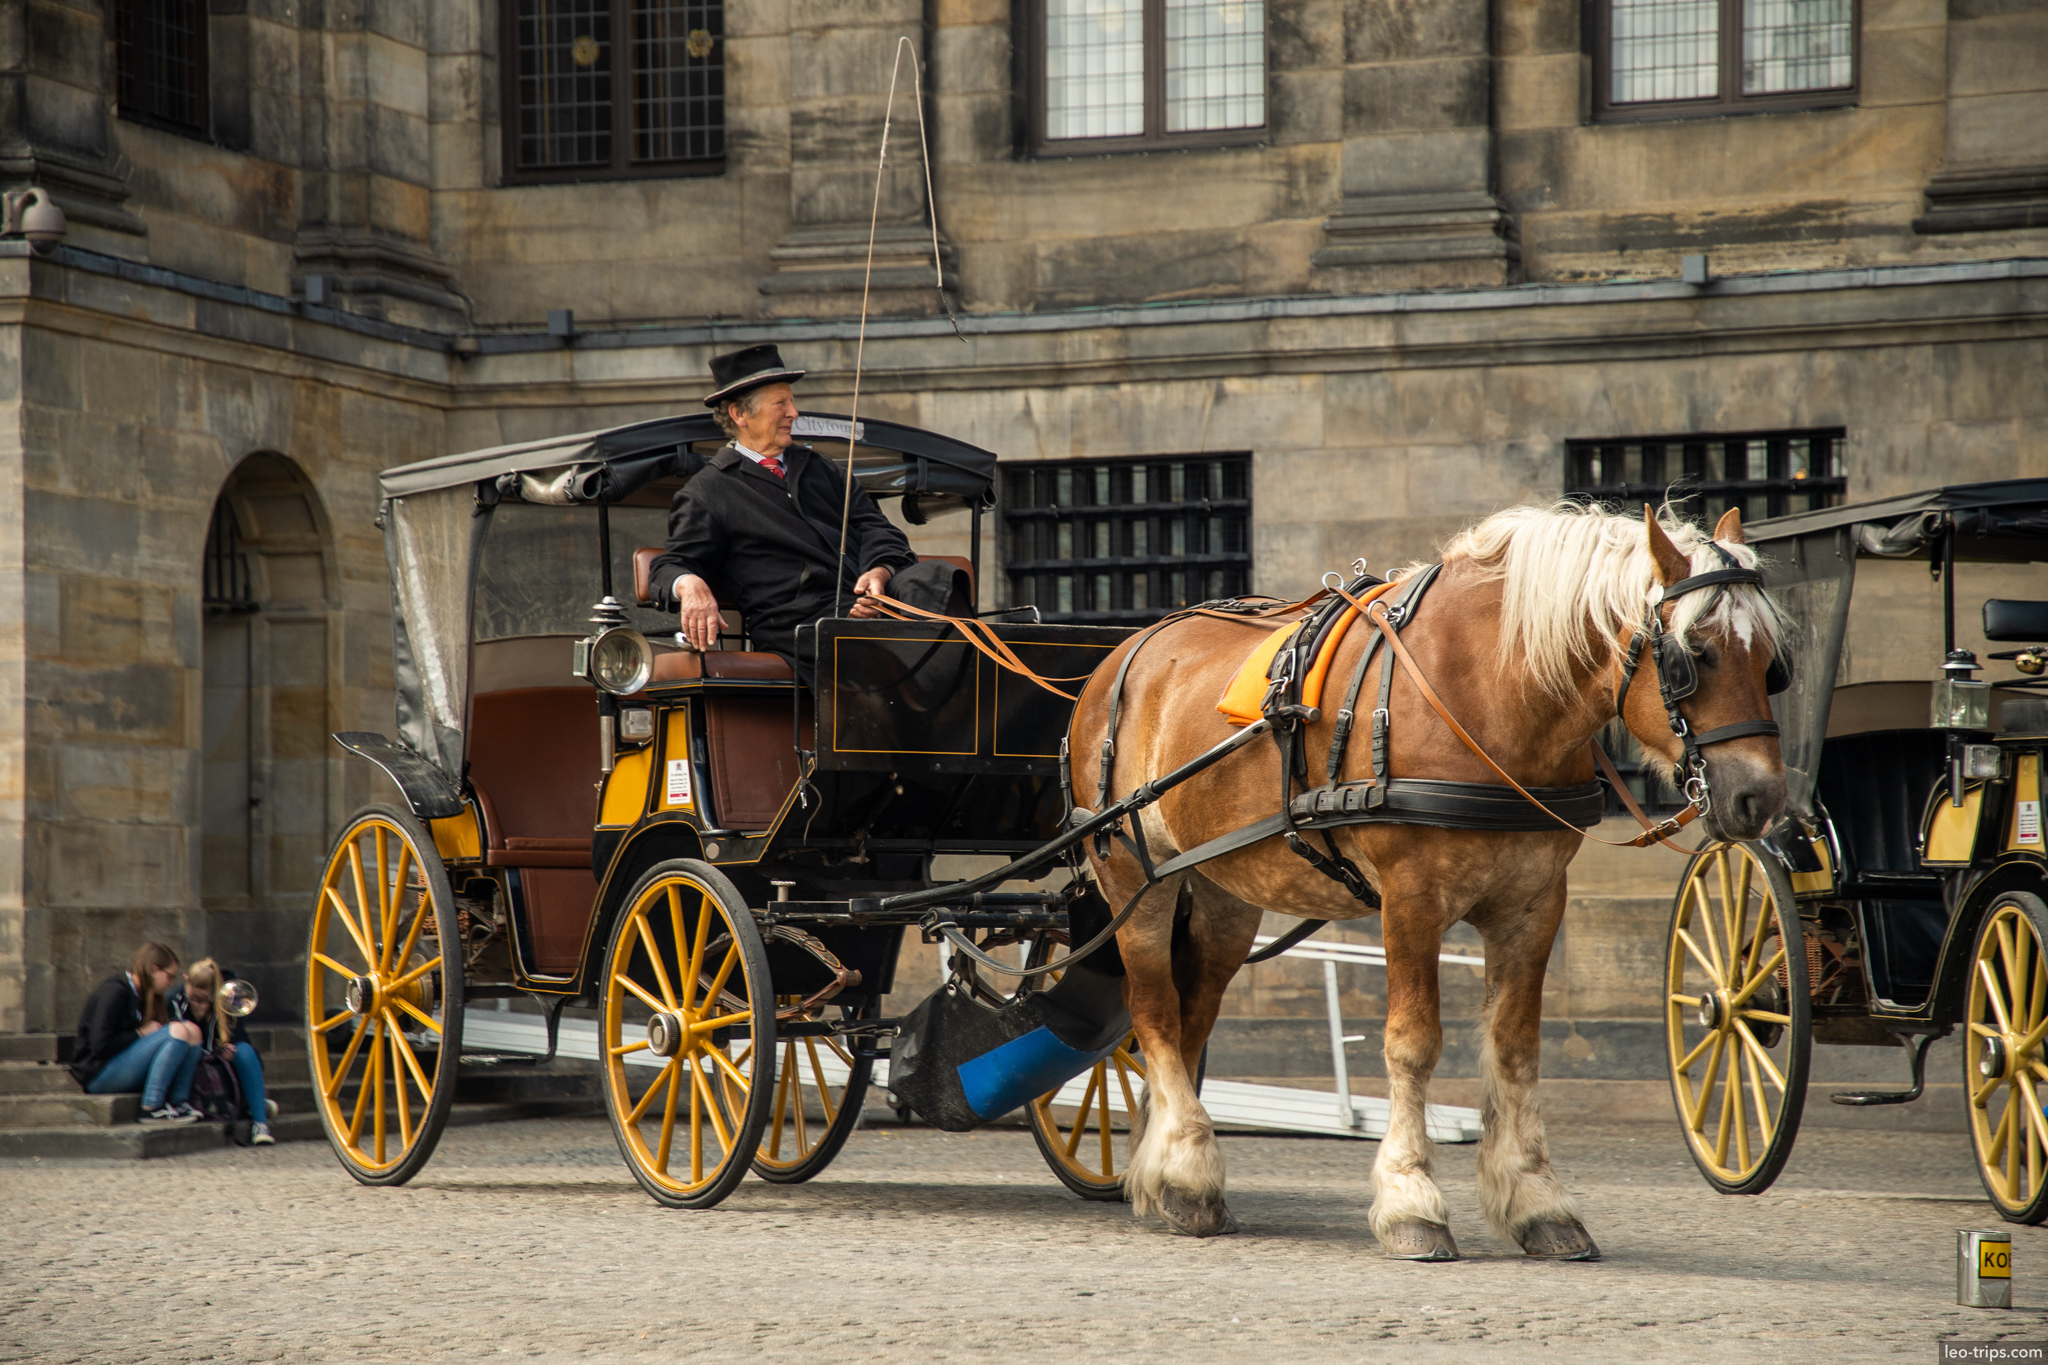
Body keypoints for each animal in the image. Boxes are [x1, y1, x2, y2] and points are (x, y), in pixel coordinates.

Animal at [1069, 502, 1788, 1258]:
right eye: (1693, 654)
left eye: (1773, 663)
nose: (1760, 797)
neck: (1490, 692)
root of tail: (1122, 654)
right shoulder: (1412, 895)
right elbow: (1413, 1043)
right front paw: (1410, 1197)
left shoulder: (1534, 904)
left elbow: (1515, 1048)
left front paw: (1536, 1198)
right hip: (1133, 876)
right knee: (1153, 1010)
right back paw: (1183, 1162)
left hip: (1221, 889)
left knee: (1190, 1017)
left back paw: (1167, 1172)